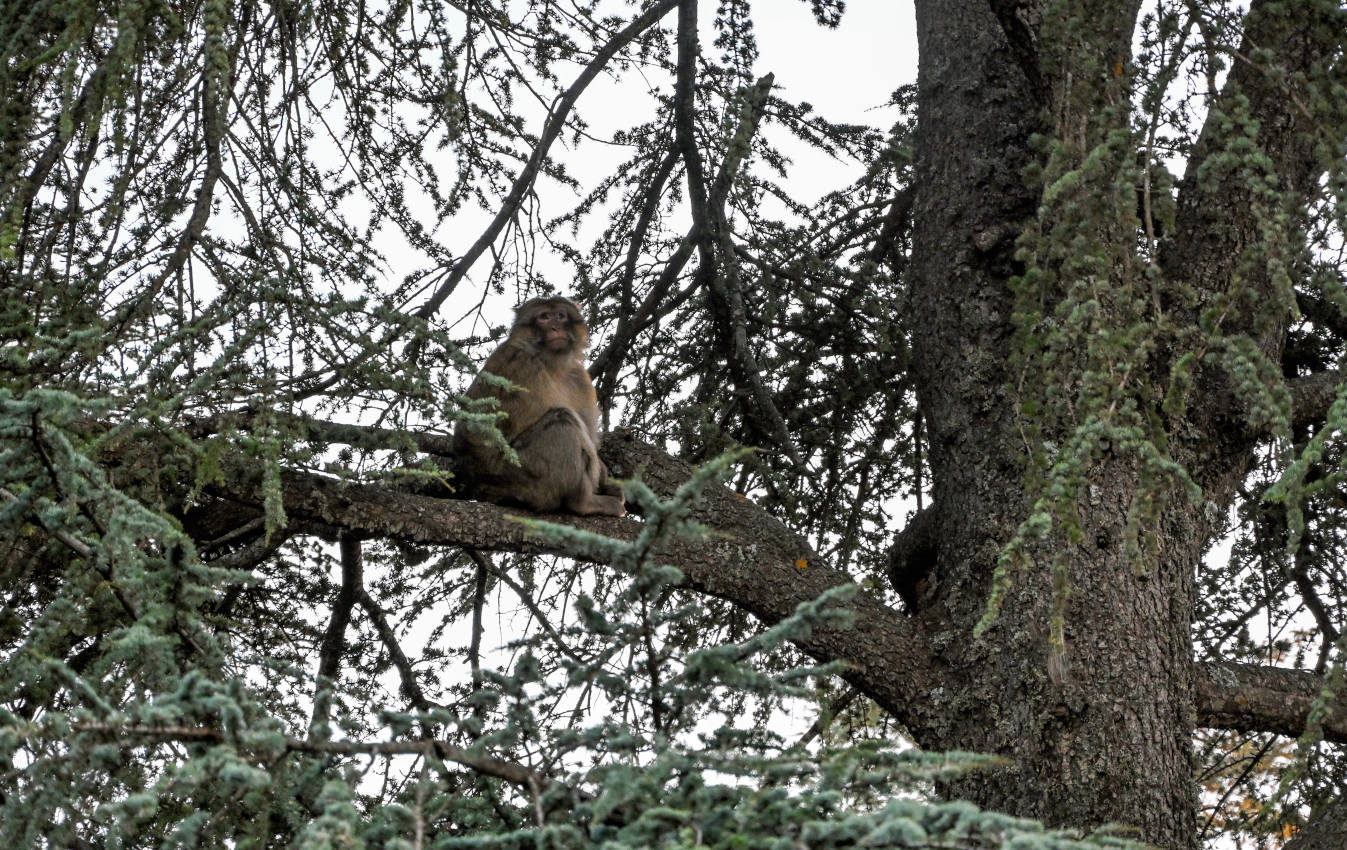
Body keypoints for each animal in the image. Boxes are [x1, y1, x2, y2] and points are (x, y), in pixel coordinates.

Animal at [447, 296, 625, 514]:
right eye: (544, 317)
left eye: (560, 315)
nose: (555, 327)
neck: (552, 362)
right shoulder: (522, 364)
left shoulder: (580, 378)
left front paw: (605, 479)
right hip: (522, 475)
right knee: (562, 420)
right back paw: (583, 502)